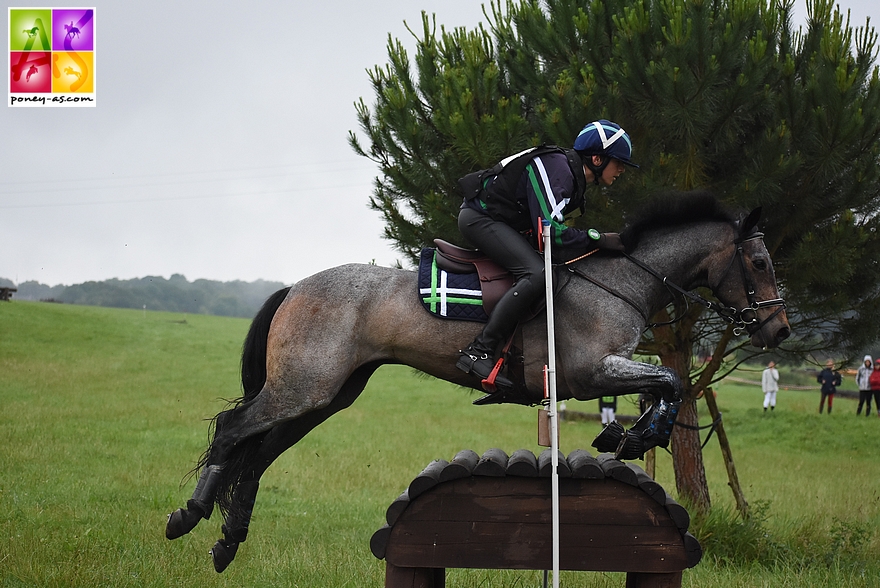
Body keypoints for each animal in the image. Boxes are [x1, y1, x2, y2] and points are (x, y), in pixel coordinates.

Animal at [165, 193, 792, 568]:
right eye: (760, 264)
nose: (780, 328)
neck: (620, 280)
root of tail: (294, 286)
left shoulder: (605, 373)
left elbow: (665, 388)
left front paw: (631, 435)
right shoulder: (591, 371)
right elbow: (668, 381)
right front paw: (633, 436)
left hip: (326, 396)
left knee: (259, 453)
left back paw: (228, 542)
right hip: (302, 388)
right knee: (233, 430)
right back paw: (188, 516)